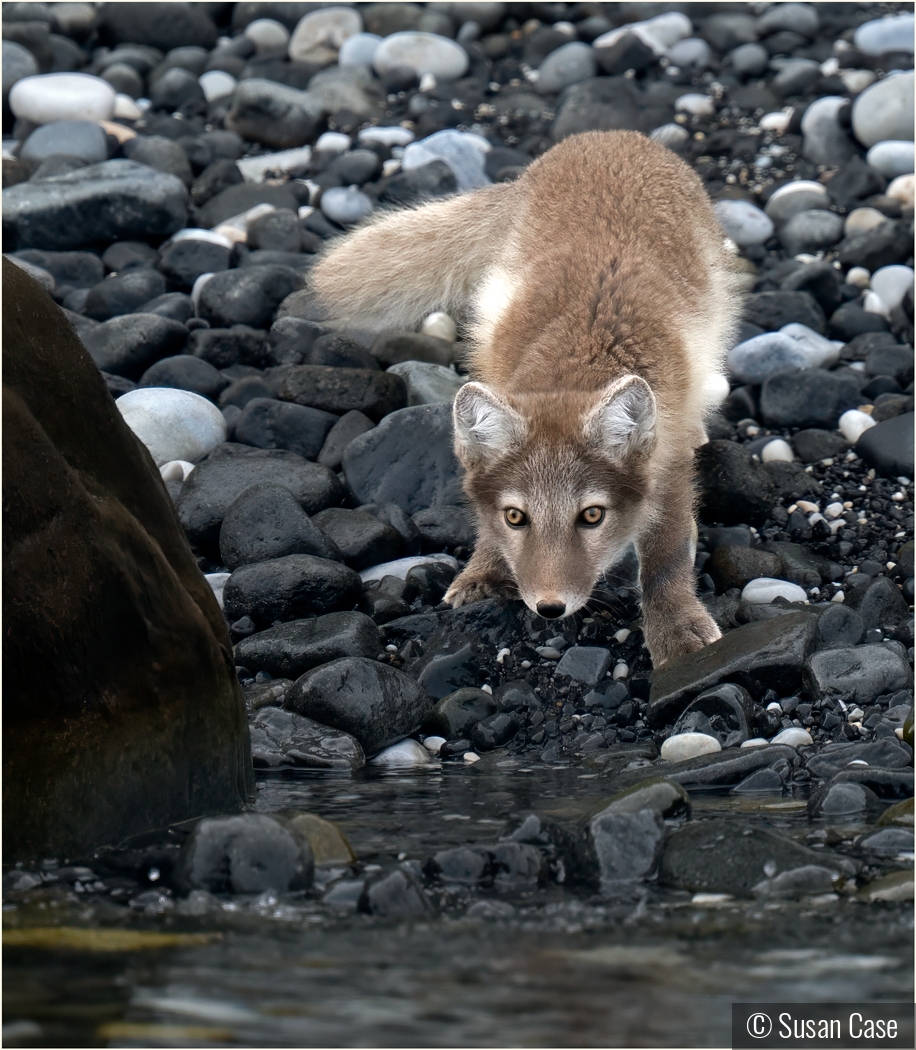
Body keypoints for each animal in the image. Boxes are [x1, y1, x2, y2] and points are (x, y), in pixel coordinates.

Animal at [310, 133, 739, 663]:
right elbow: (485, 523)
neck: (582, 359)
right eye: (516, 517)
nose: (550, 608)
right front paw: (483, 571)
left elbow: (667, 555)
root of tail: (608, 136)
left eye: (592, 516)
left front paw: (675, 629)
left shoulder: (669, 465)